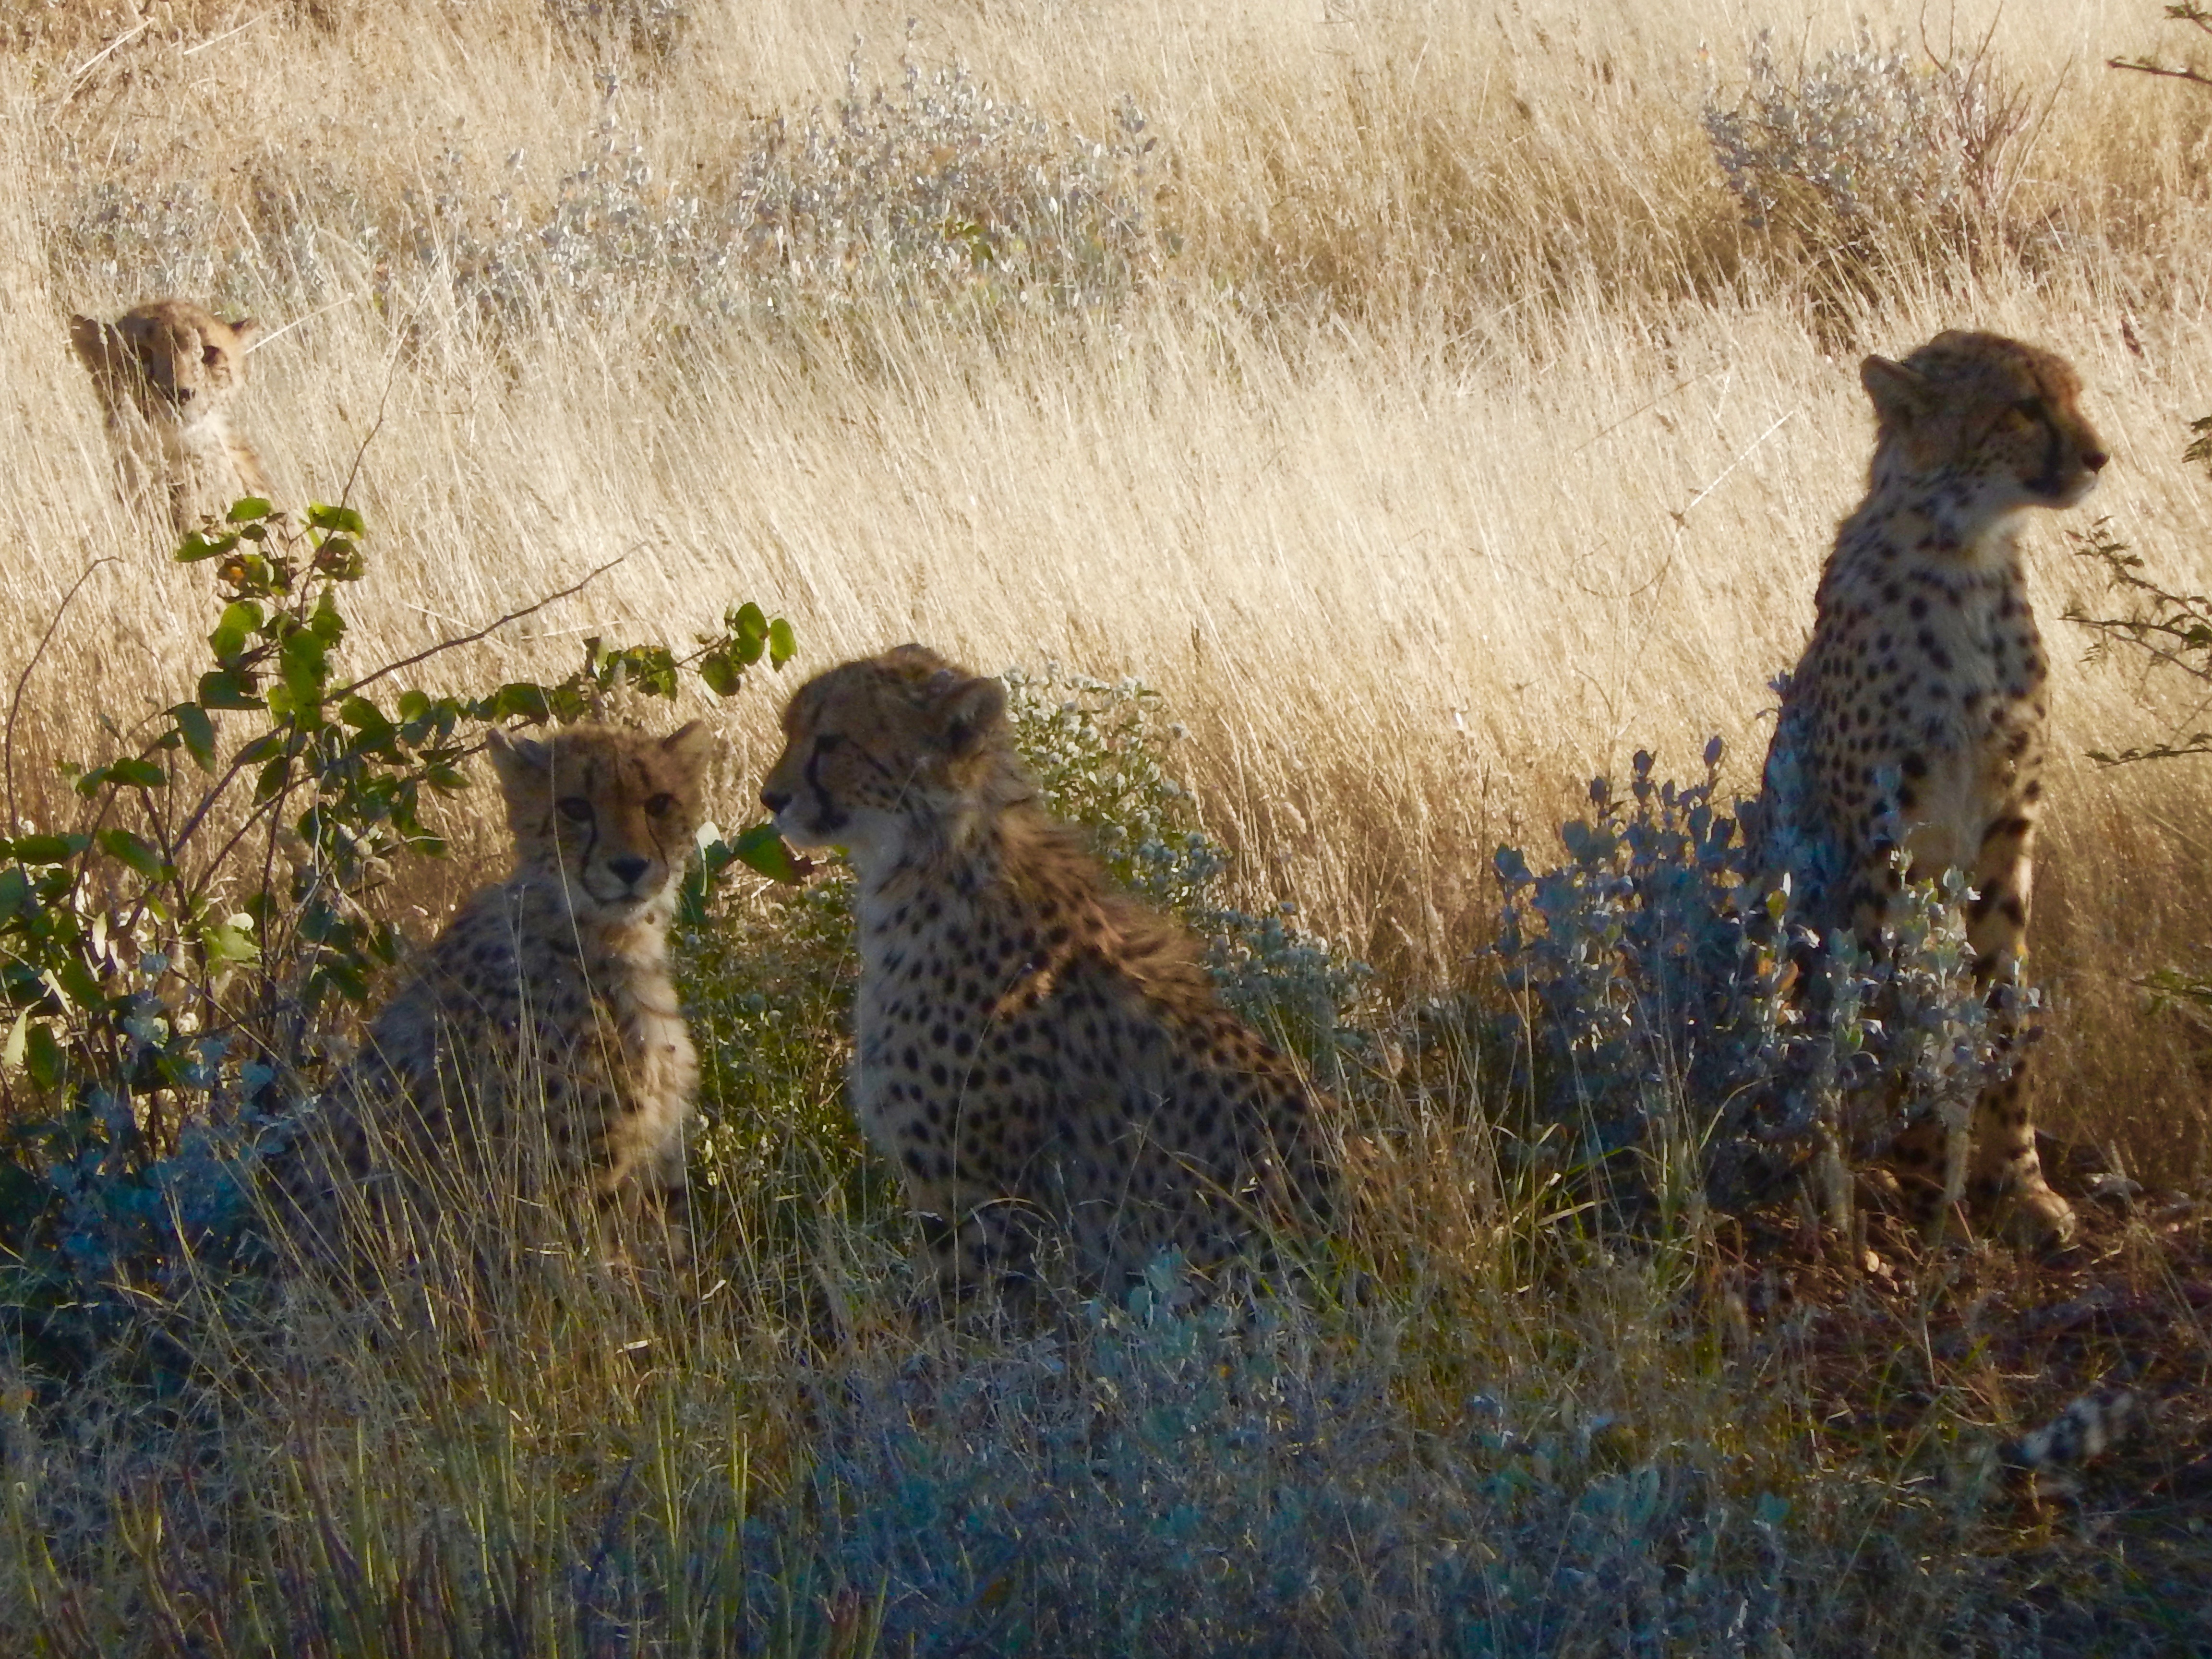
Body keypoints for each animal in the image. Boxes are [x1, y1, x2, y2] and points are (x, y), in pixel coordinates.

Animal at [1757, 329, 2108, 1251]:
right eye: (2022, 408)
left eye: (2074, 396)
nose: (2099, 455)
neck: (1968, 555)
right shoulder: (1884, 842)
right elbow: (1895, 1000)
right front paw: (1920, 1174)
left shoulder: (2008, 829)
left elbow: (2004, 1011)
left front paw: (2020, 1184)